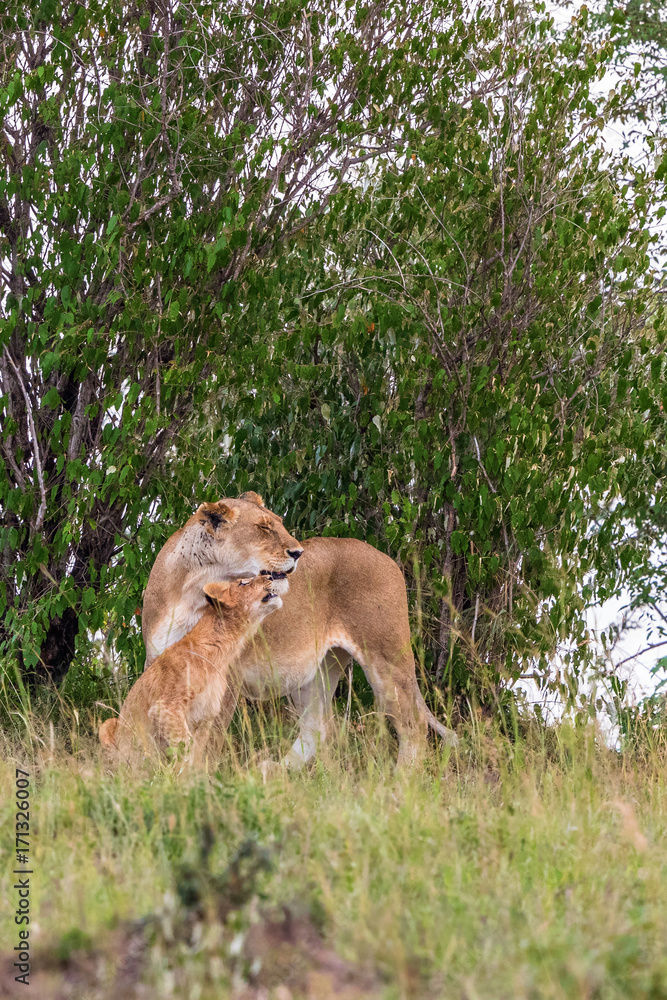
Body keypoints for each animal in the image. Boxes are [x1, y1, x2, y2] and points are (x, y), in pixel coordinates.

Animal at [99, 576, 282, 765]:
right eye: (244, 582)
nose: (271, 576)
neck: (223, 651)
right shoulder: (165, 708)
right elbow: (185, 746)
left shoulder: (205, 717)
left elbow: (197, 753)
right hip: (109, 726)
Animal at [141, 493, 458, 768]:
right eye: (263, 527)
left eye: (279, 523)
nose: (298, 552)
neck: (192, 589)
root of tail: (384, 555)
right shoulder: (158, 664)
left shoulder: (226, 677)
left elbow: (207, 742)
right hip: (319, 670)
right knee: (317, 727)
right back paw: (273, 771)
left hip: (385, 657)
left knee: (413, 724)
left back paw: (401, 781)